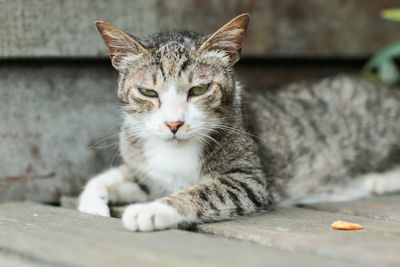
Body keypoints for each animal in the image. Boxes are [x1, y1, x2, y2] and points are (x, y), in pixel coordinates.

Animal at [78, 13, 400, 232]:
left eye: (198, 89)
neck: (175, 151)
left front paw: (151, 211)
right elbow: (110, 177)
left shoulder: (250, 181)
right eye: (148, 92)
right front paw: (90, 203)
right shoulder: (149, 173)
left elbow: (206, 192)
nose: (173, 124)